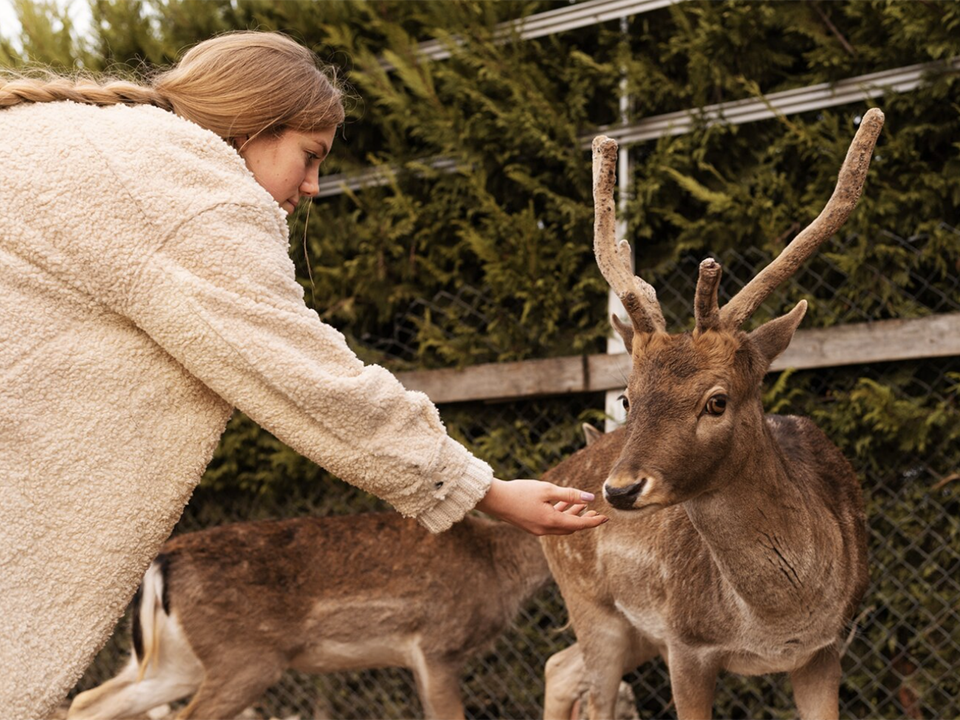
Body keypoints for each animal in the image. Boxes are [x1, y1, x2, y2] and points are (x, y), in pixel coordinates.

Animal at [67, 512, 556, 720]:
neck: (498, 564)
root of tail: (162, 562)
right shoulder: (440, 644)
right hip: (245, 660)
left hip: (174, 662)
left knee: (89, 701)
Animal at [544, 108, 880, 720]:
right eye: (628, 398)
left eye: (716, 401)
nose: (620, 490)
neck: (775, 625)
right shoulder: (687, 644)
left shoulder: (826, 647)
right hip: (592, 607)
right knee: (588, 690)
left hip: (633, 633)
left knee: (558, 667)